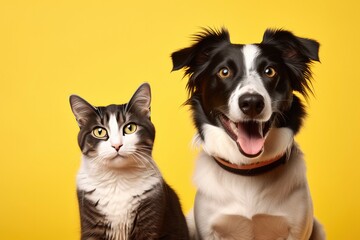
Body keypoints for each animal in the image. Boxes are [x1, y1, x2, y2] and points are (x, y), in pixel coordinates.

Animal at [69, 83, 190, 240]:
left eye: (130, 128)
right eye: (99, 132)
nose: (117, 145)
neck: (117, 179)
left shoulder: (150, 214)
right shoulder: (91, 221)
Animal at [170, 28, 324, 240]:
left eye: (270, 71)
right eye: (224, 72)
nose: (251, 102)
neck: (248, 172)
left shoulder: (297, 230)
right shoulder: (209, 230)